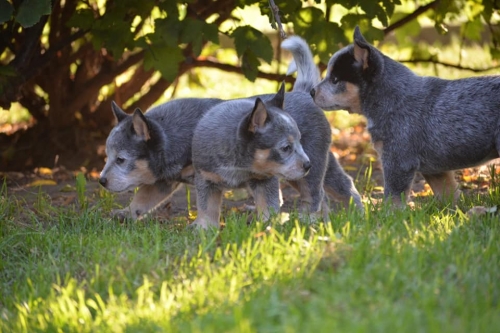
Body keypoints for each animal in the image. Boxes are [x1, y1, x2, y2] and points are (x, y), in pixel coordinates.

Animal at [310, 25, 500, 205]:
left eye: (335, 80)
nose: (311, 91)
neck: (394, 99)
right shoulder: (436, 171)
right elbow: (448, 197)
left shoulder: (397, 163)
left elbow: (392, 200)